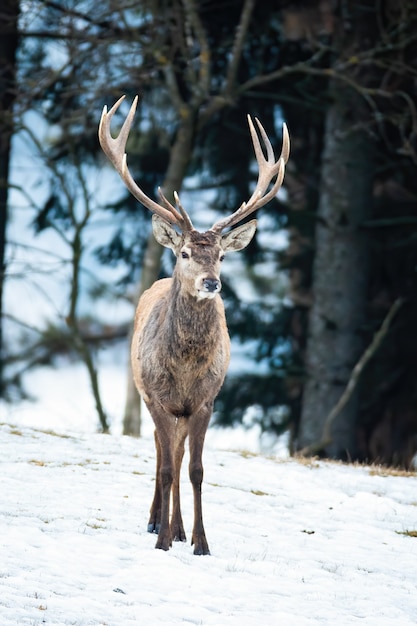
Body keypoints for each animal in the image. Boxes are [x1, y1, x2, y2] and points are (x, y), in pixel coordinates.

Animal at [98, 95, 290, 552]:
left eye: (220, 255)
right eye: (185, 252)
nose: (211, 282)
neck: (184, 370)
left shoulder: (205, 401)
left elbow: (196, 470)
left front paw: (200, 542)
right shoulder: (158, 398)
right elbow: (167, 467)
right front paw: (163, 541)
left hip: (184, 412)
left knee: (179, 454)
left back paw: (179, 526)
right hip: (145, 394)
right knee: (159, 454)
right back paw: (157, 522)